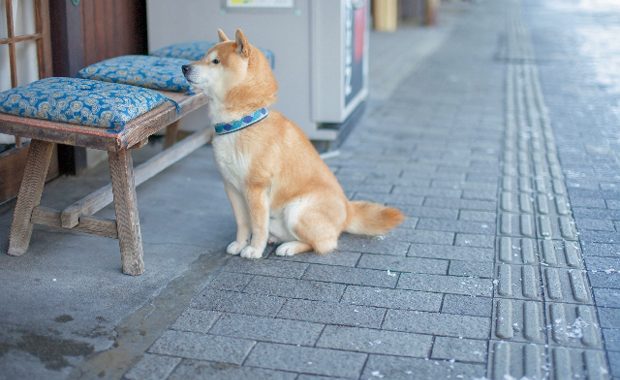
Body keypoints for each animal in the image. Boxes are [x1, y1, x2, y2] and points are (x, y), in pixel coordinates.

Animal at [182, 29, 404, 258]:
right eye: (202, 56)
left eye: (215, 61)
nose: (184, 67)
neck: (240, 123)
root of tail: (347, 210)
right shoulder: (232, 188)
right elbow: (243, 223)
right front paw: (240, 243)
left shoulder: (256, 188)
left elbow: (257, 225)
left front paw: (254, 249)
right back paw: (277, 240)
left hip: (296, 211)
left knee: (323, 244)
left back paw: (289, 247)